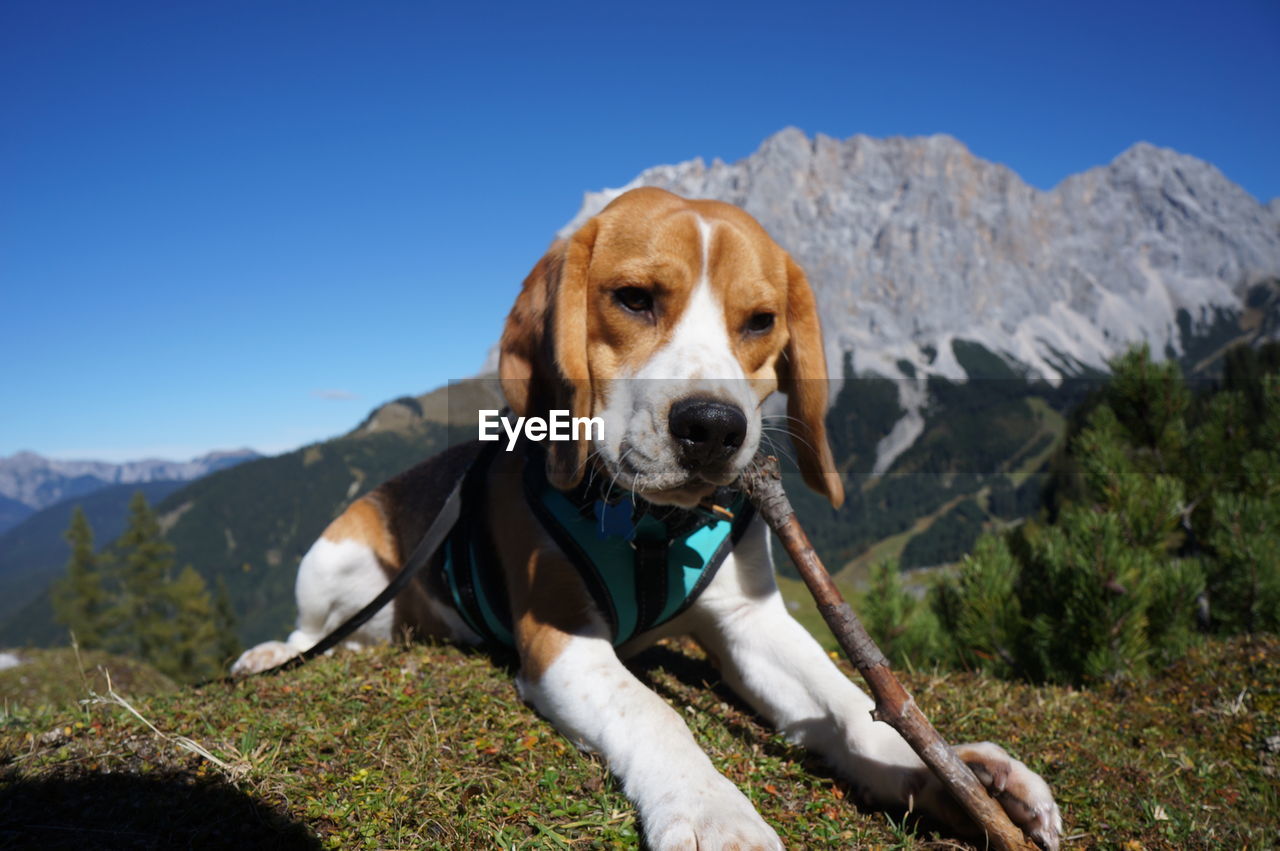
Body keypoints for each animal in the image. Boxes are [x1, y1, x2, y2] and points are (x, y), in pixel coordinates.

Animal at [235, 188, 1064, 849]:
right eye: (634, 299)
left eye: (760, 320)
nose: (714, 427)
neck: (652, 526)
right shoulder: (563, 643)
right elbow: (657, 713)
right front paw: (715, 812)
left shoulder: (752, 623)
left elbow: (848, 701)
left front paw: (945, 777)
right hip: (339, 562)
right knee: (320, 633)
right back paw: (271, 652)